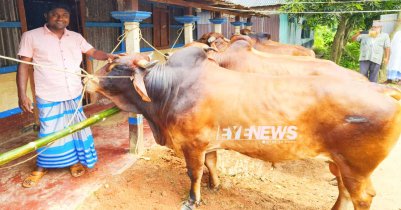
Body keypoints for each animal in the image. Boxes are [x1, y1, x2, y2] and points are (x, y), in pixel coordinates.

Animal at [86, 46, 400, 209]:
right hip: (339, 164)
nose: (86, 79)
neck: (170, 89)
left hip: (356, 168)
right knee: (344, 191)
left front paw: (193, 199)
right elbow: (212, 165)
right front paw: (214, 186)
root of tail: (381, 89)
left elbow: (193, 173)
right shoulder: (208, 144)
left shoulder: (192, 144)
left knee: (362, 196)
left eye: (114, 67)